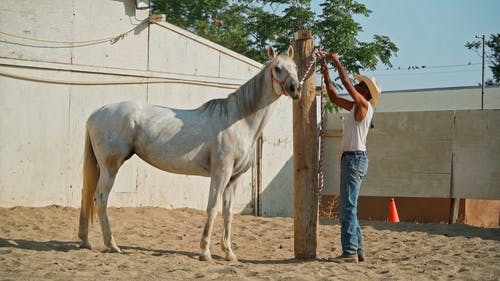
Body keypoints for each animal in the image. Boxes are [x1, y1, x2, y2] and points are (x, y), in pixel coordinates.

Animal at [78, 45, 300, 260]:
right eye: (277, 68)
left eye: (296, 67)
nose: (296, 88)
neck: (239, 121)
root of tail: (96, 113)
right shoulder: (220, 174)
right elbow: (213, 208)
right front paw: (205, 252)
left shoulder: (234, 178)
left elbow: (228, 212)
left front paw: (229, 253)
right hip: (110, 167)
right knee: (100, 198)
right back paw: (112, 245)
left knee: (87, 195)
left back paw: (85, 241)